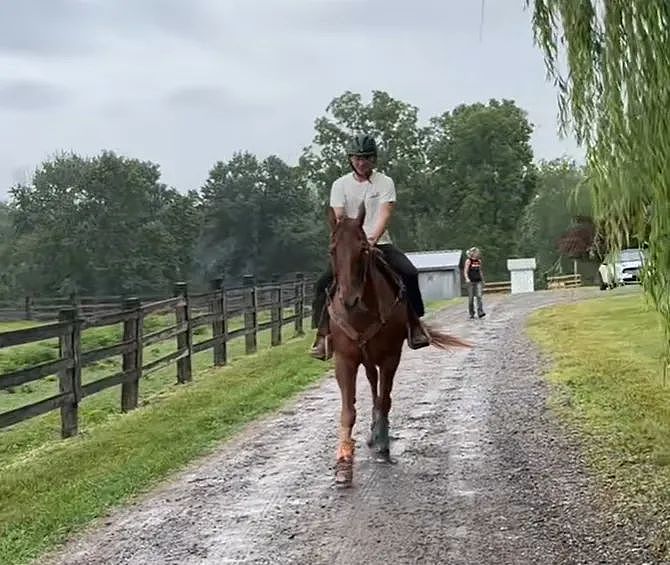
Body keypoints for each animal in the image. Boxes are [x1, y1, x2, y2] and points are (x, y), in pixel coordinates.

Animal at [326, 205, 472, 486]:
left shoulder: (390, 357)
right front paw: (343, 464)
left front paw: (383, 446)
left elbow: (385, 401)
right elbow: (348, 411)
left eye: (363, 248)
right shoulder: (345, 360)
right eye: (332, 249)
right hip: (366, 359)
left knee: (380, 395)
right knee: (372, 386)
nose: (349, 300)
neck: (362, 313)